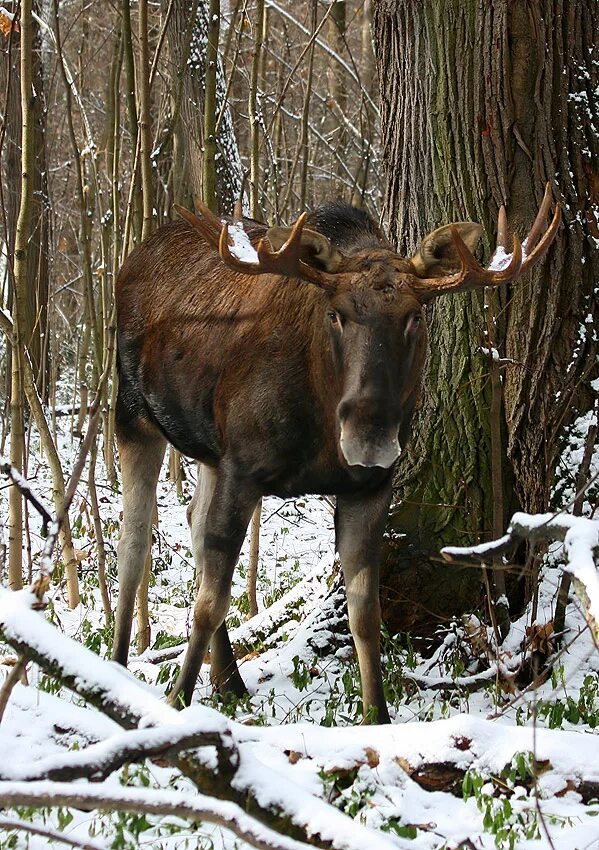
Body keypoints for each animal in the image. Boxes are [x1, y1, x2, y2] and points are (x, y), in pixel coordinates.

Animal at [113, 186, 564, 724]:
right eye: (337, 314)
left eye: (415, 316)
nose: (369, 437)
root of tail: (133, 259)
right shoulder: (243, 467)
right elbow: (209, 602)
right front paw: (176, 702)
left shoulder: (368, 488)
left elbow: (365, 614)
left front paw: (377, 714)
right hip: (133, 415)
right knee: (134, 541)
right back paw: (116, 663)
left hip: (207, 452)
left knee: (191, 518)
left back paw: (229, 680)